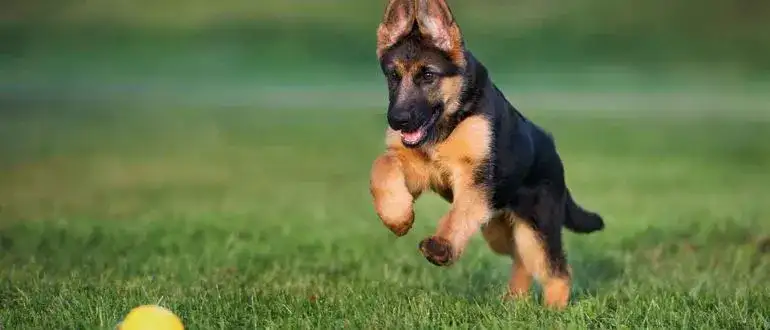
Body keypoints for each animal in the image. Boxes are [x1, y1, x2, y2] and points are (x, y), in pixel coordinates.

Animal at [368, 0, 608, 310]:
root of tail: (552, 151)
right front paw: (397, 217)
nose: (397, 120)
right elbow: (382, 166)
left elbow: (458, 213)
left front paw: (441, 247)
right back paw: (514, 301)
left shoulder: (477, 178)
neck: (448, 123)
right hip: (497, 229)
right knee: (521, 259)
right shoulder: (420, 170)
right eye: (393, 77)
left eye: (428, 75)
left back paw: (553, 309)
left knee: (555, 269)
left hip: (536, 225)